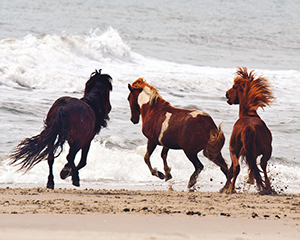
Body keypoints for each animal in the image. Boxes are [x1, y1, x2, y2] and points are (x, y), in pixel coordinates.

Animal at [225, 66, 274, 194]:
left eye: (233, 87)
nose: (226, 94)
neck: (248, 114)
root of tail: (248, 126)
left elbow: (231, 169)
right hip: (265, 152)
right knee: (262, 165)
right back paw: (267, 187)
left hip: (234, 150)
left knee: (238, 167)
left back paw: (231, 189)